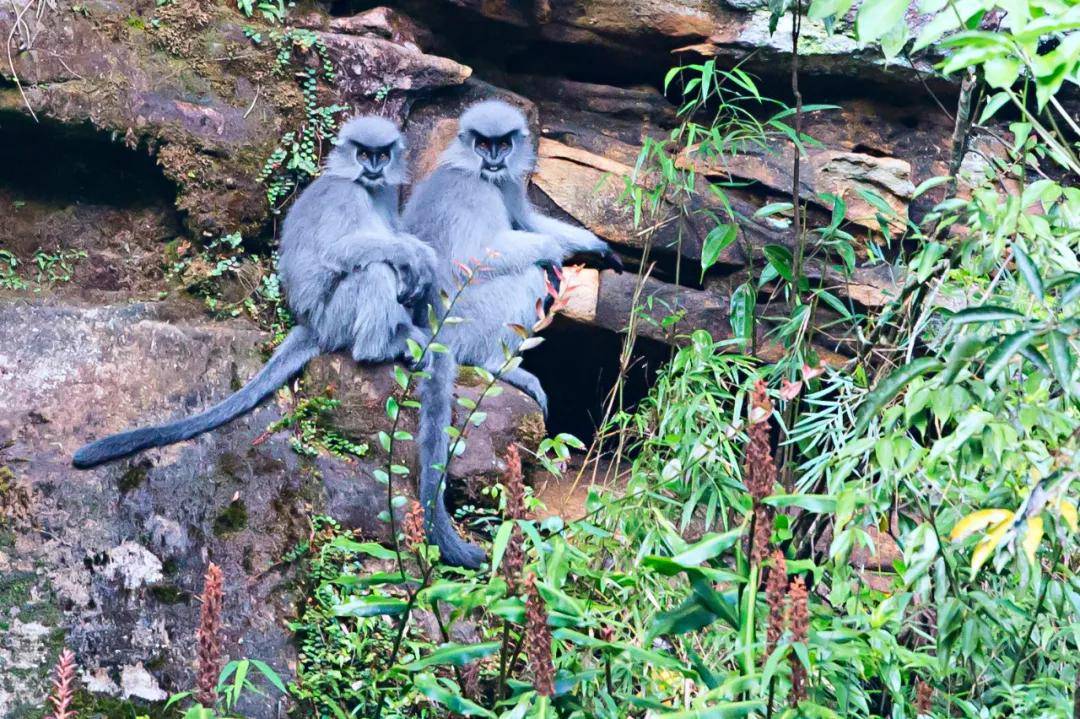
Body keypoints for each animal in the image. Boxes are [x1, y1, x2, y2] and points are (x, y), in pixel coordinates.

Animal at [71, 115, 436, 468]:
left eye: (382, 155)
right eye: (363, 154)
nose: (373, 167)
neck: (364, 186)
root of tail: (310, 325)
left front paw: (421, 261)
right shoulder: (345, 195)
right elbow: (339, 250)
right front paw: (415, 255)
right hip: (335, 317)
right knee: (375, 269)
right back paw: (378, 348)